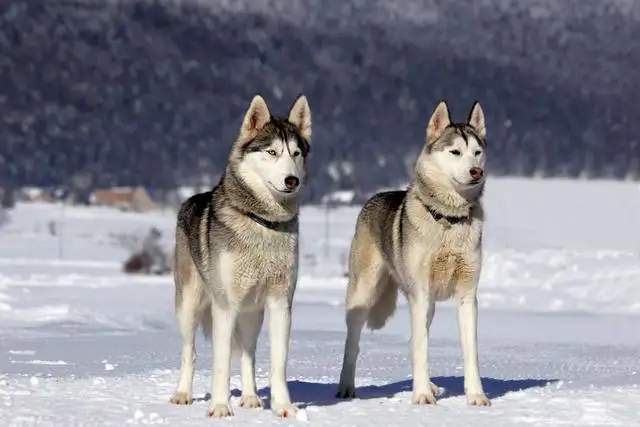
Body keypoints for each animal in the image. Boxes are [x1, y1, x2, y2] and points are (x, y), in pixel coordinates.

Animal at [169, 95, 312, 420]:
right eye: (272, 152)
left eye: (296, 153)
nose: (292, 180)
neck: (262, 222)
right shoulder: (225, 306)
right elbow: (221, 364)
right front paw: (220, 407)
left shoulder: (280, 303)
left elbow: (278, 362)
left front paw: (283, 407)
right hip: (190, 306)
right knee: (189, 353)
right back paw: (183, 394)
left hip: (252, 314)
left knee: (247, 354)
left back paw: (250, 398)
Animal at [336, 99, 490, 408]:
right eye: (455, 152)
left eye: (477, 153)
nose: (476, 172)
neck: (448, 220)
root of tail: (374, 197)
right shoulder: (420, 291)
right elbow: (421, 348)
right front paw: (420, 396)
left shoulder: (467, 295)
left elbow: (470, 350)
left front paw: (476, 396)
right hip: (365, 293)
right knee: (353, 344)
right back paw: (347, 387)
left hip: (426, 305)